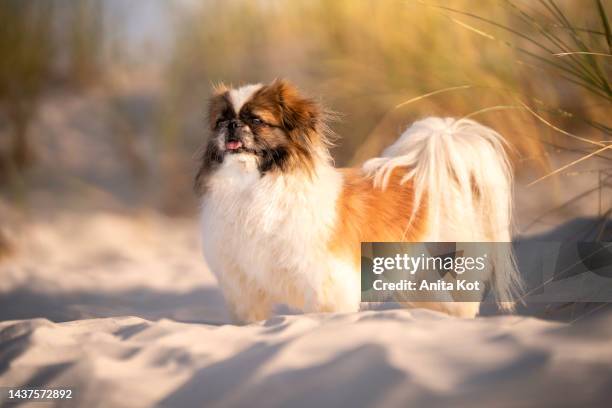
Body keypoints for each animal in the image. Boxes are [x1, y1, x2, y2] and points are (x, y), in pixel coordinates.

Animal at [196, 79, 520, 322]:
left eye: (255, 120)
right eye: (221, 121)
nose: (232, 125)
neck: (251, 187)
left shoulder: (326, 284)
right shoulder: (244, 290)